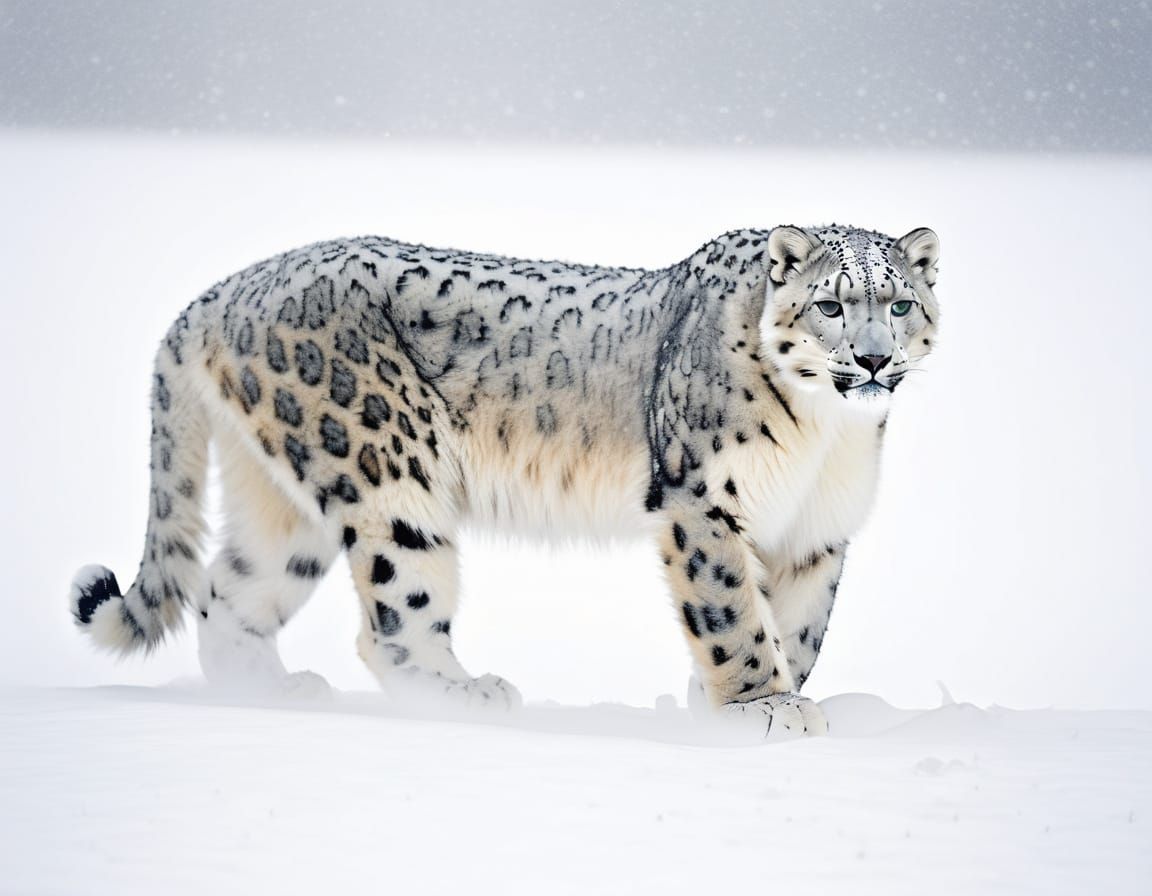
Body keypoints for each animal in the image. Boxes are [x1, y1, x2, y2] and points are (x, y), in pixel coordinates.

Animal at [69, 222, 940, 739]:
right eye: (830, 305)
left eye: (900, 303)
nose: (872, 358)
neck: (826, 434)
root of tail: (220, 293)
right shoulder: (703, 501)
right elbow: (731, 610)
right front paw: (763, 707)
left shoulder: (817, 529)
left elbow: (798, 623)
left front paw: (734, 701)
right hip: (389, 470)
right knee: (394, 617)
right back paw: (464, 693)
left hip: (283, 504)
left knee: (229, 590)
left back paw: (272, 695)